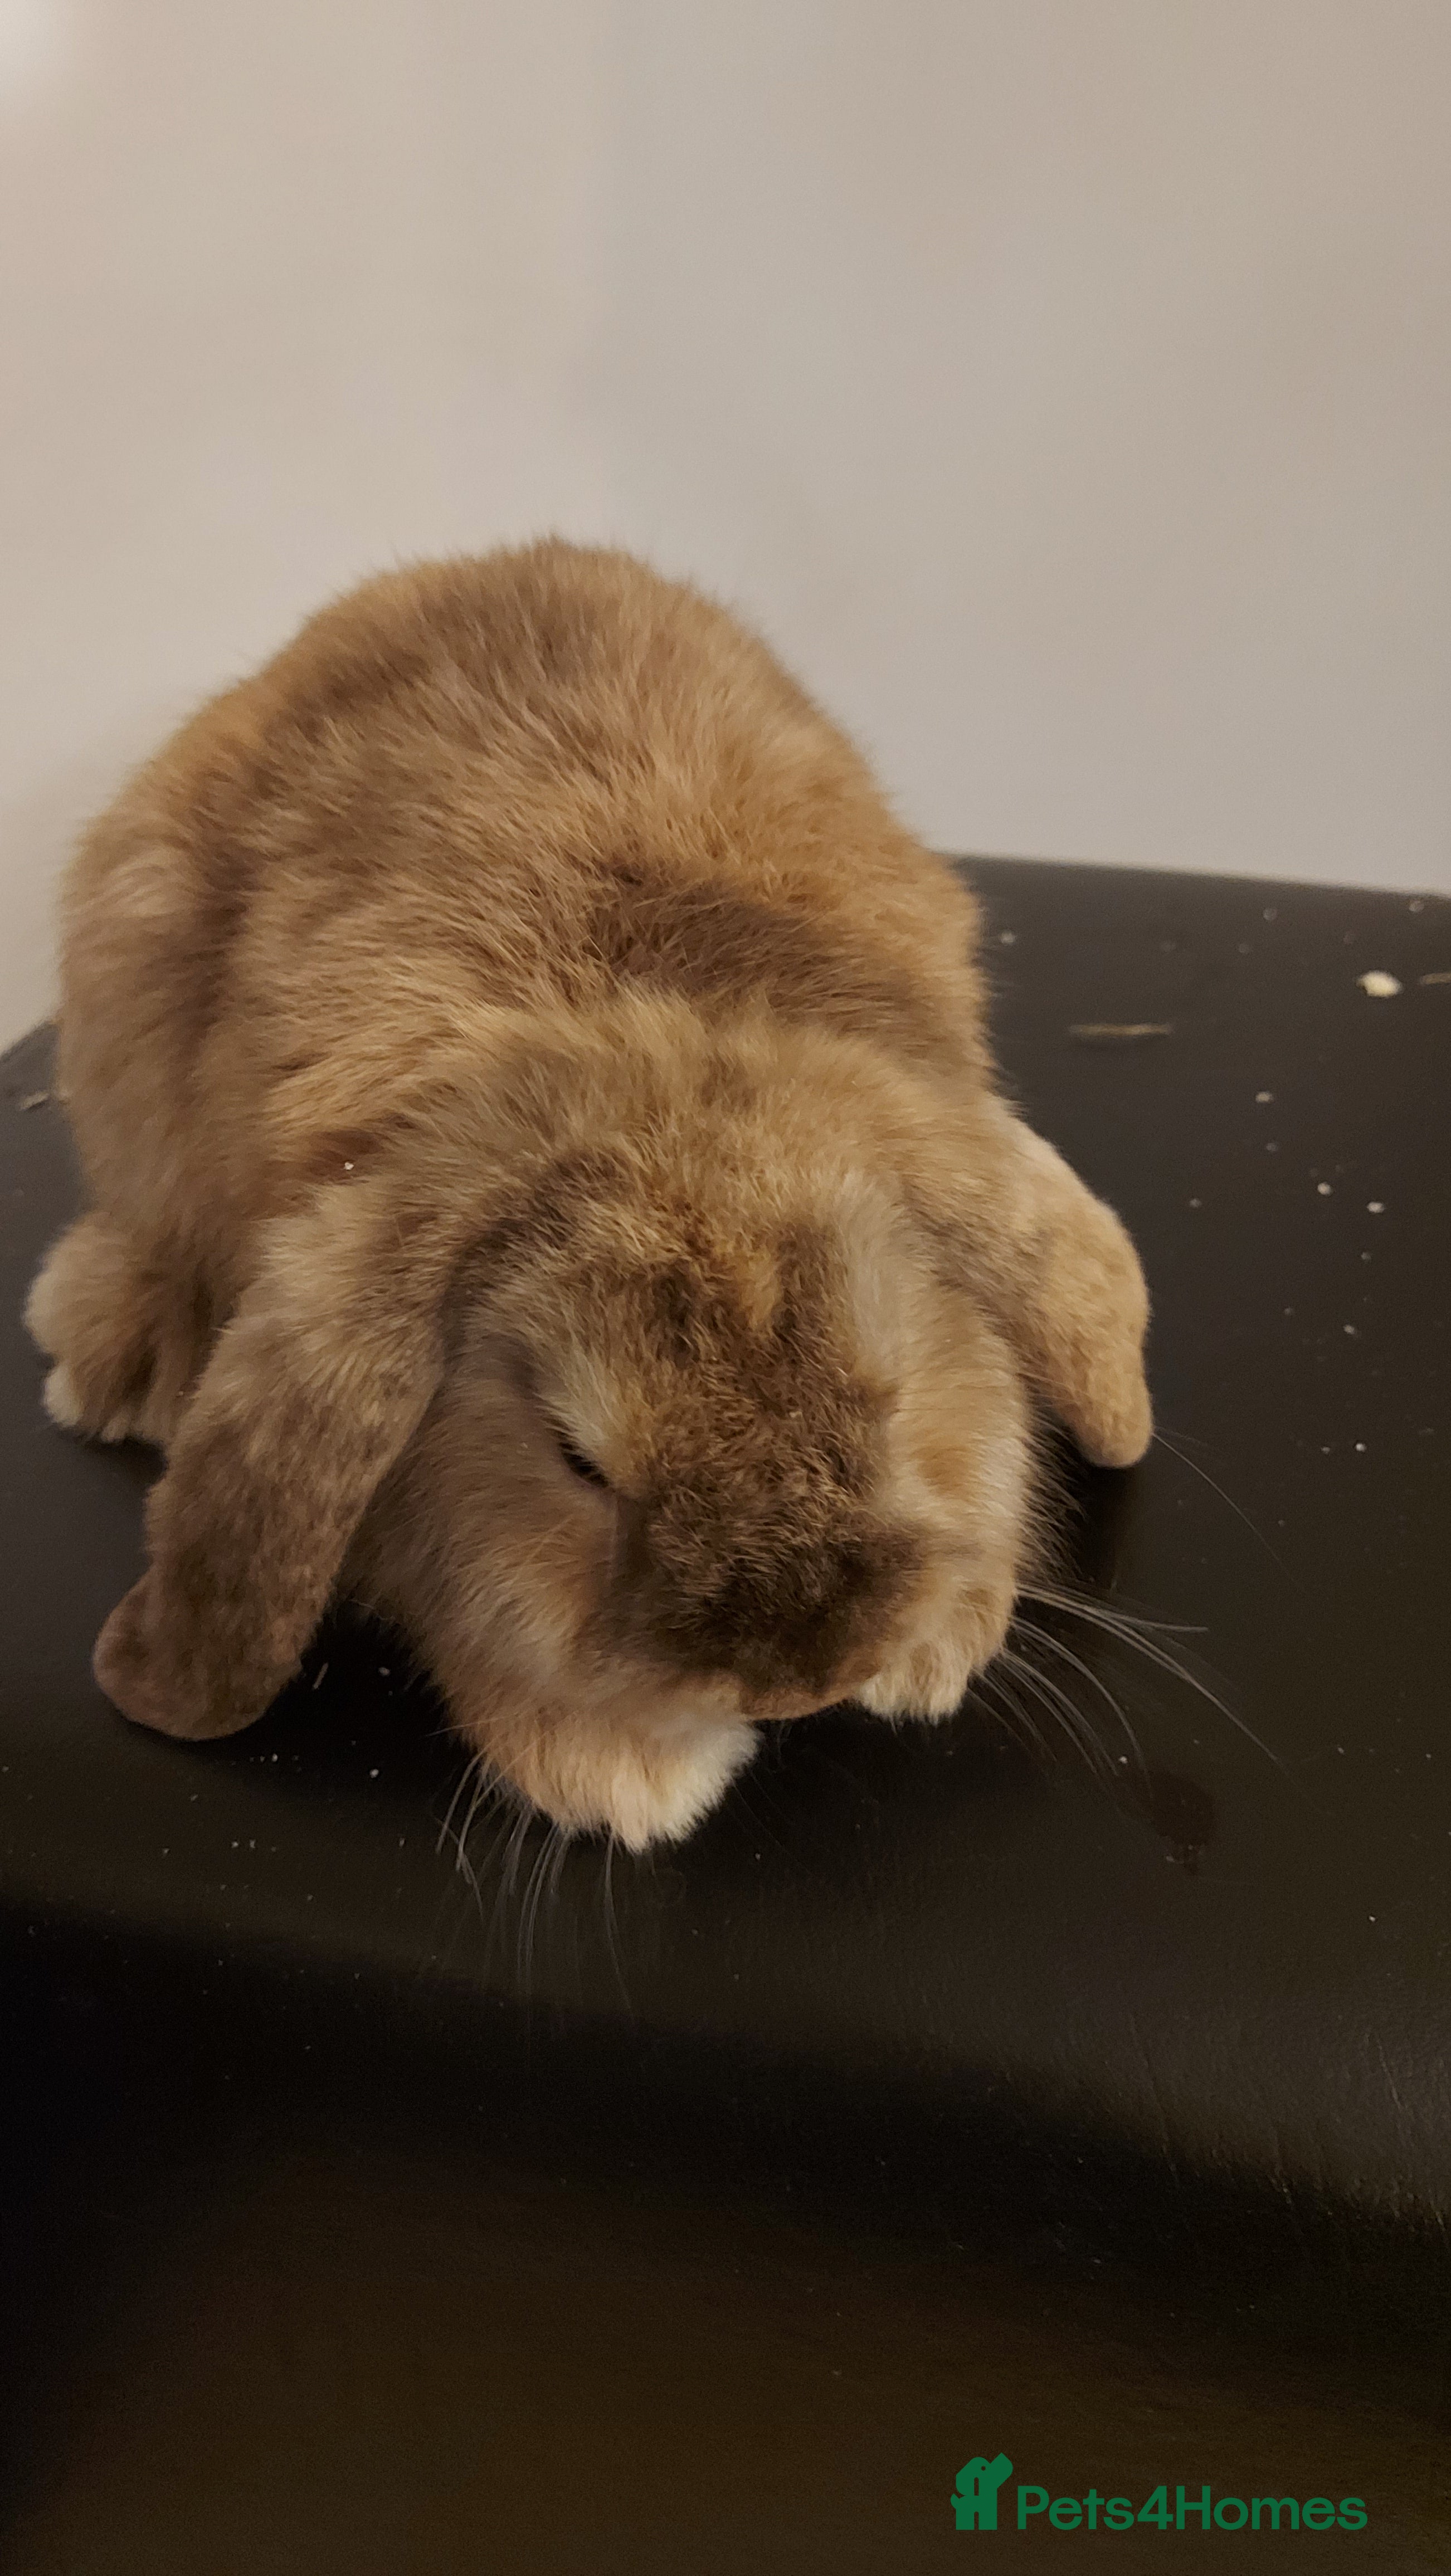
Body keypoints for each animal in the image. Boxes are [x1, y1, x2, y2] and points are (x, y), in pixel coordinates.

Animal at [26, 541, 1152, 1850]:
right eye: (577, 1462)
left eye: (893, 1399)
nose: (798, 1684)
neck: (648, 1049)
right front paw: (614, 1773)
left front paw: (941, 1648)